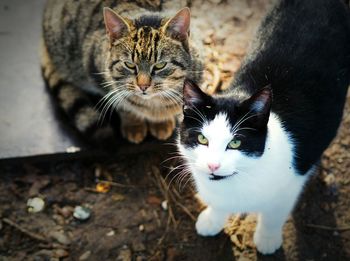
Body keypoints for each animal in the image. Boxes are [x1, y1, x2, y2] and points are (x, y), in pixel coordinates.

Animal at [42, 0, 202, 144]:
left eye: (160, 65)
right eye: (129, 65)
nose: (143, 86)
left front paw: (161, 123)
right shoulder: (99, 74)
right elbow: (124, 106)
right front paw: (134, 126)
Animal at [178, 0, 350, 254]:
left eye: (235, 142)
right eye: (201, 139)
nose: (213, 165)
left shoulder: (288, 188)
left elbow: (274, 215)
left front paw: (267, 239)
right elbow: (218, 205)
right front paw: (212, 219)